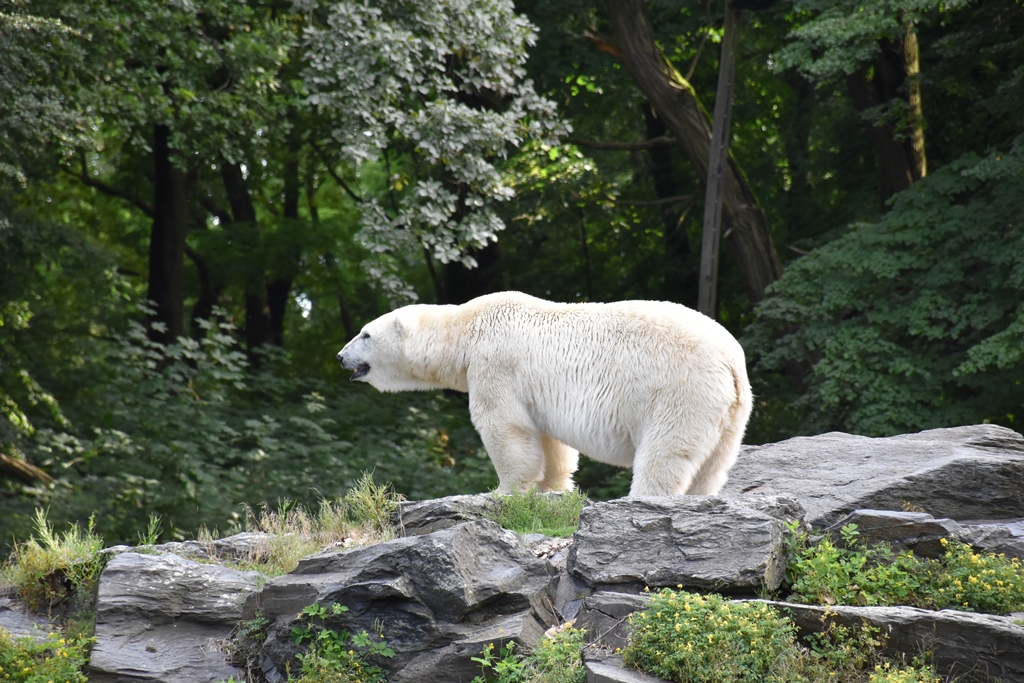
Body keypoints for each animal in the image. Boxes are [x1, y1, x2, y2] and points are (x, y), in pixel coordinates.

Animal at [337, 291, 752, 496]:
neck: (467, 328)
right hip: (732, 410)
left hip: (678, 390)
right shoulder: (538, 390)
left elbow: (504, 426)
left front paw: (503, 490)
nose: (341, 357)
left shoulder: (495, 363)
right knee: (713, 463)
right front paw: (555, 487)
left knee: (665, 451)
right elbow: (551, 440)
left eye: (365, 334)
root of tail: (729, 359)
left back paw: (643, 498)